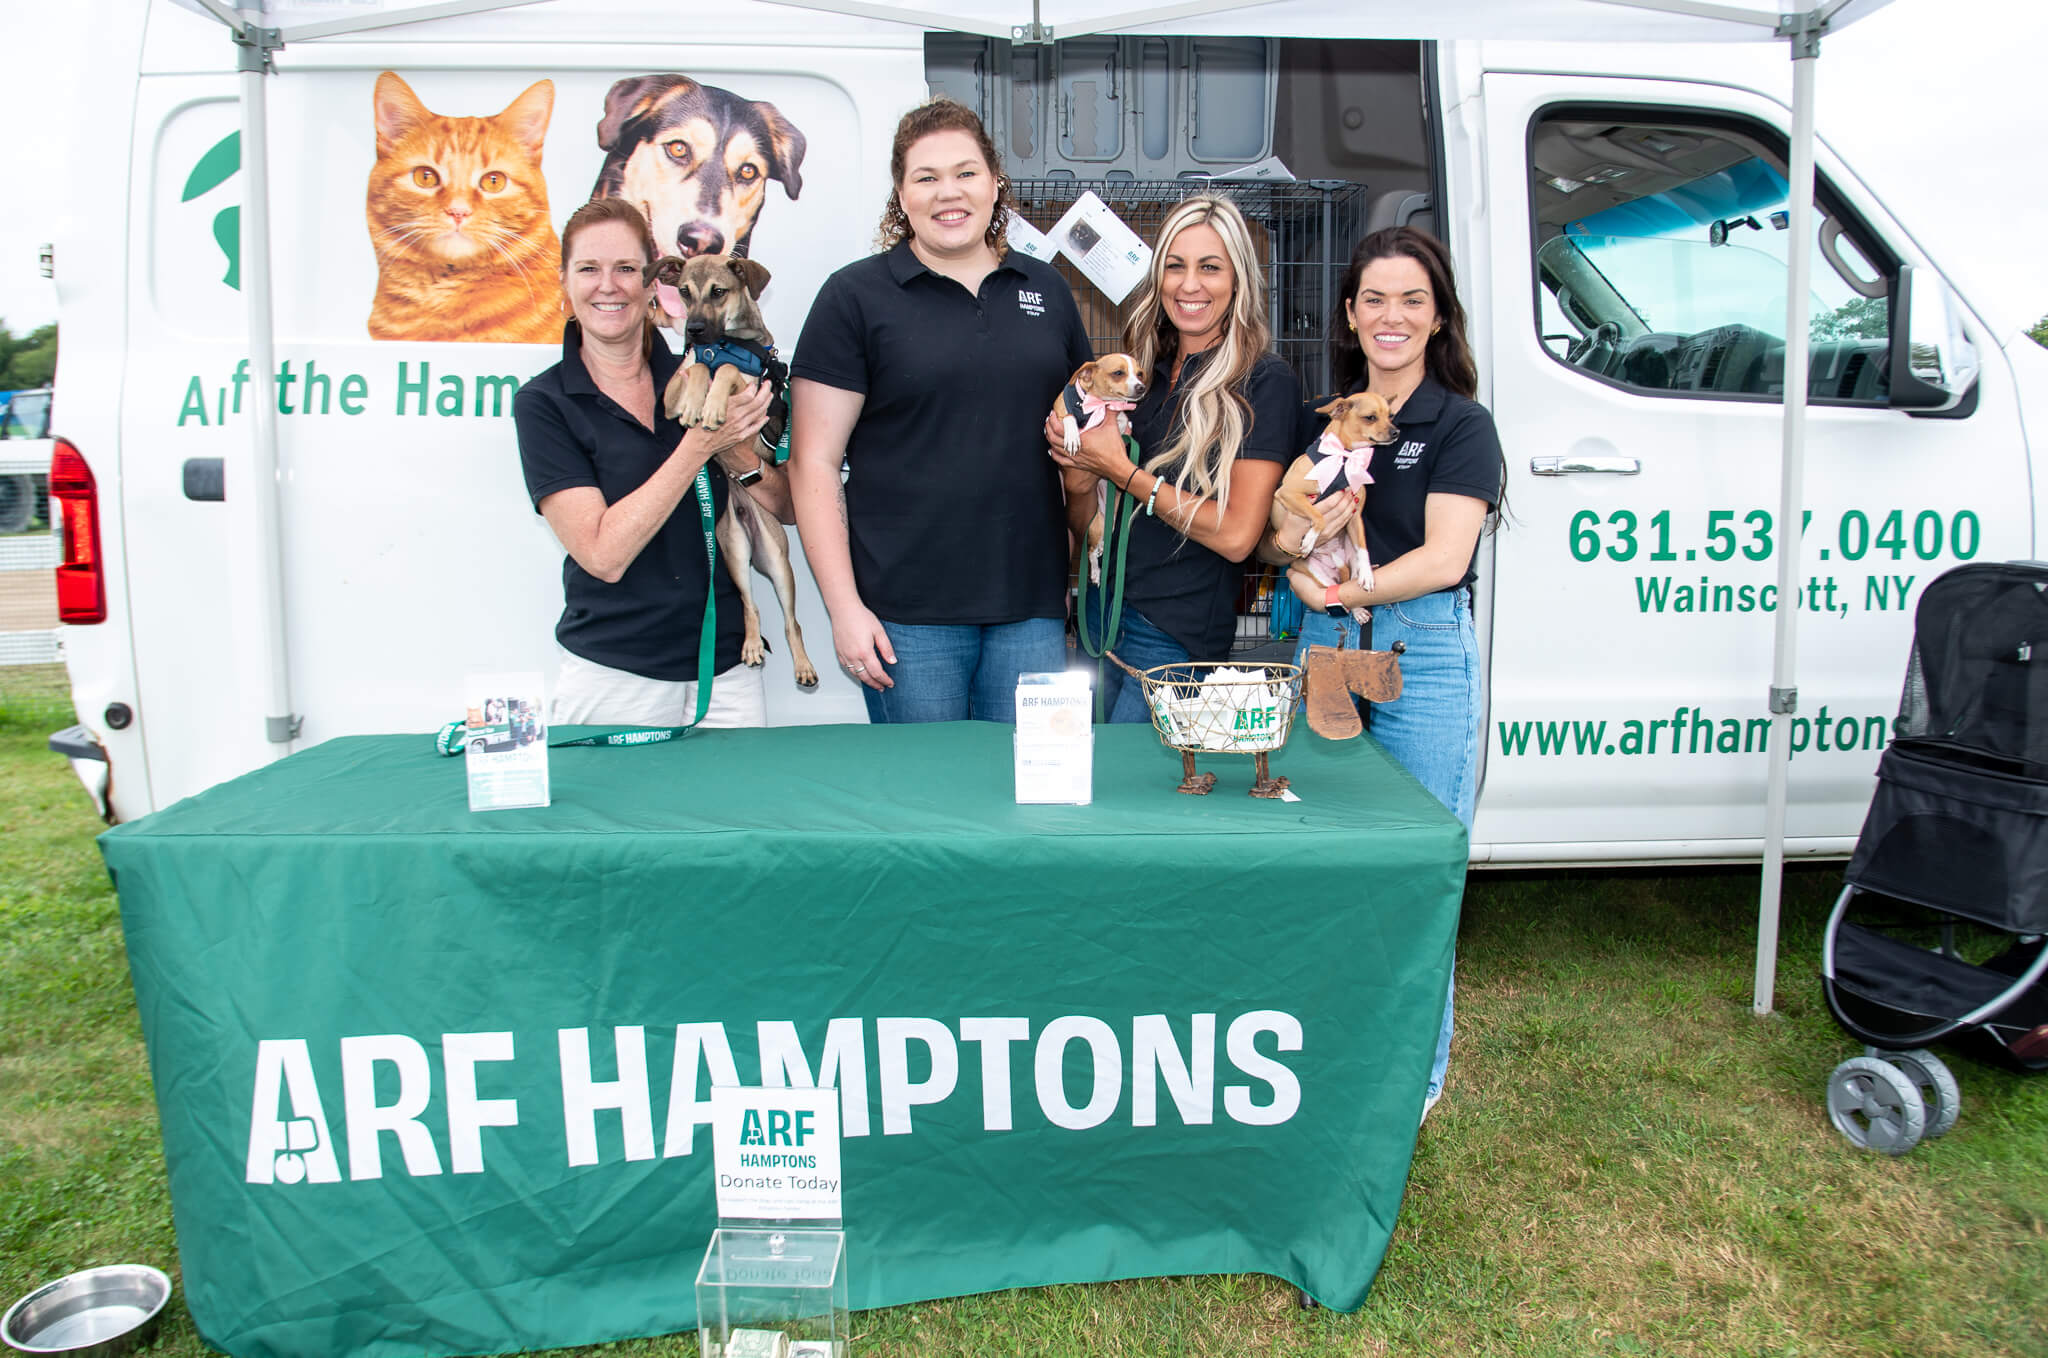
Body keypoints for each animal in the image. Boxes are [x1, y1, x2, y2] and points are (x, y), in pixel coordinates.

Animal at [651, 251, 819, 692]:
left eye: (719, 292)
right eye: (684, 292)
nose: (693, 331)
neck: (724, 343)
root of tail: (744, 508)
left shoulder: (753, 387)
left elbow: (726, 373)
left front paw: (711, 405)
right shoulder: (670, 393)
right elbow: (695, 371)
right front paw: (697, 403)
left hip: (777, 560)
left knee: (792, 623)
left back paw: (803, 666)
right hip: (733, 552)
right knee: (748, 605)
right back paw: (751, 647)